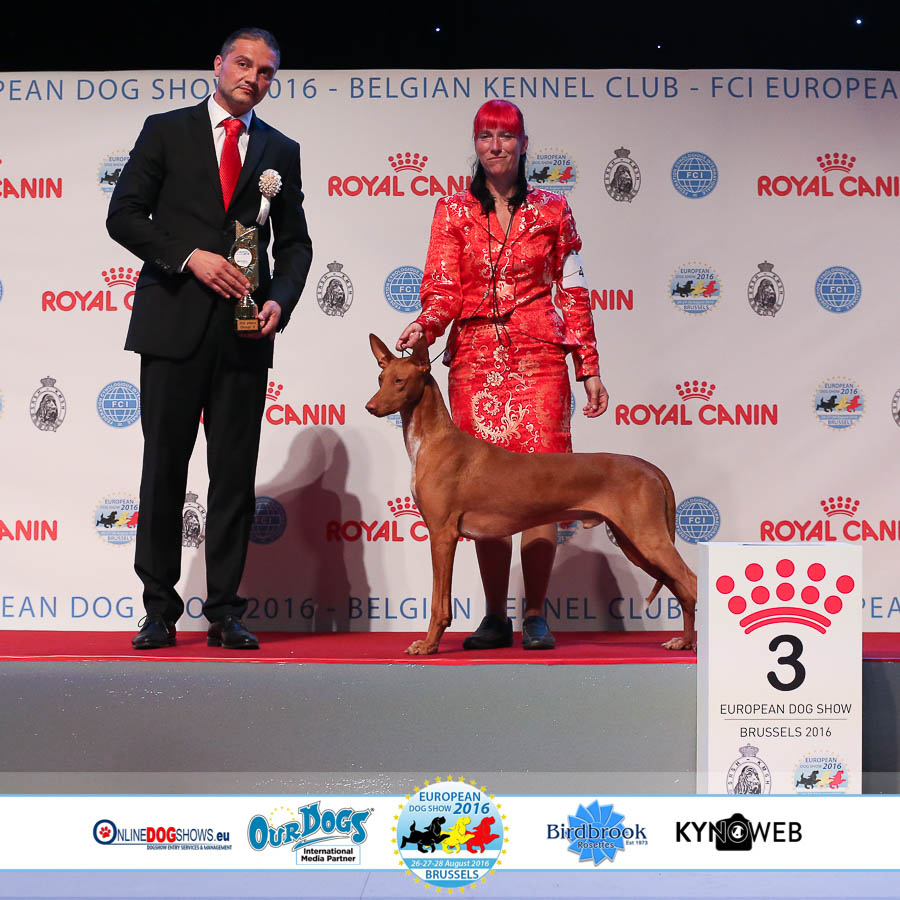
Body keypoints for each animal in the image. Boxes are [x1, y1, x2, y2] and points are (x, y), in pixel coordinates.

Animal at [366, 334, 697, 655]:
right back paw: (684, 642)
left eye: (400, 381)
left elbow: (439, 603)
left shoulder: (442, 535)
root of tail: (649, 466)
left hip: (648, 538)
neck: (432, 441)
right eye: (381, 378)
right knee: (681, 588)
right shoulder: (444, 535)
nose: (370, 407)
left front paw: (428, 645)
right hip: (634, 544)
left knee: (690, 582)